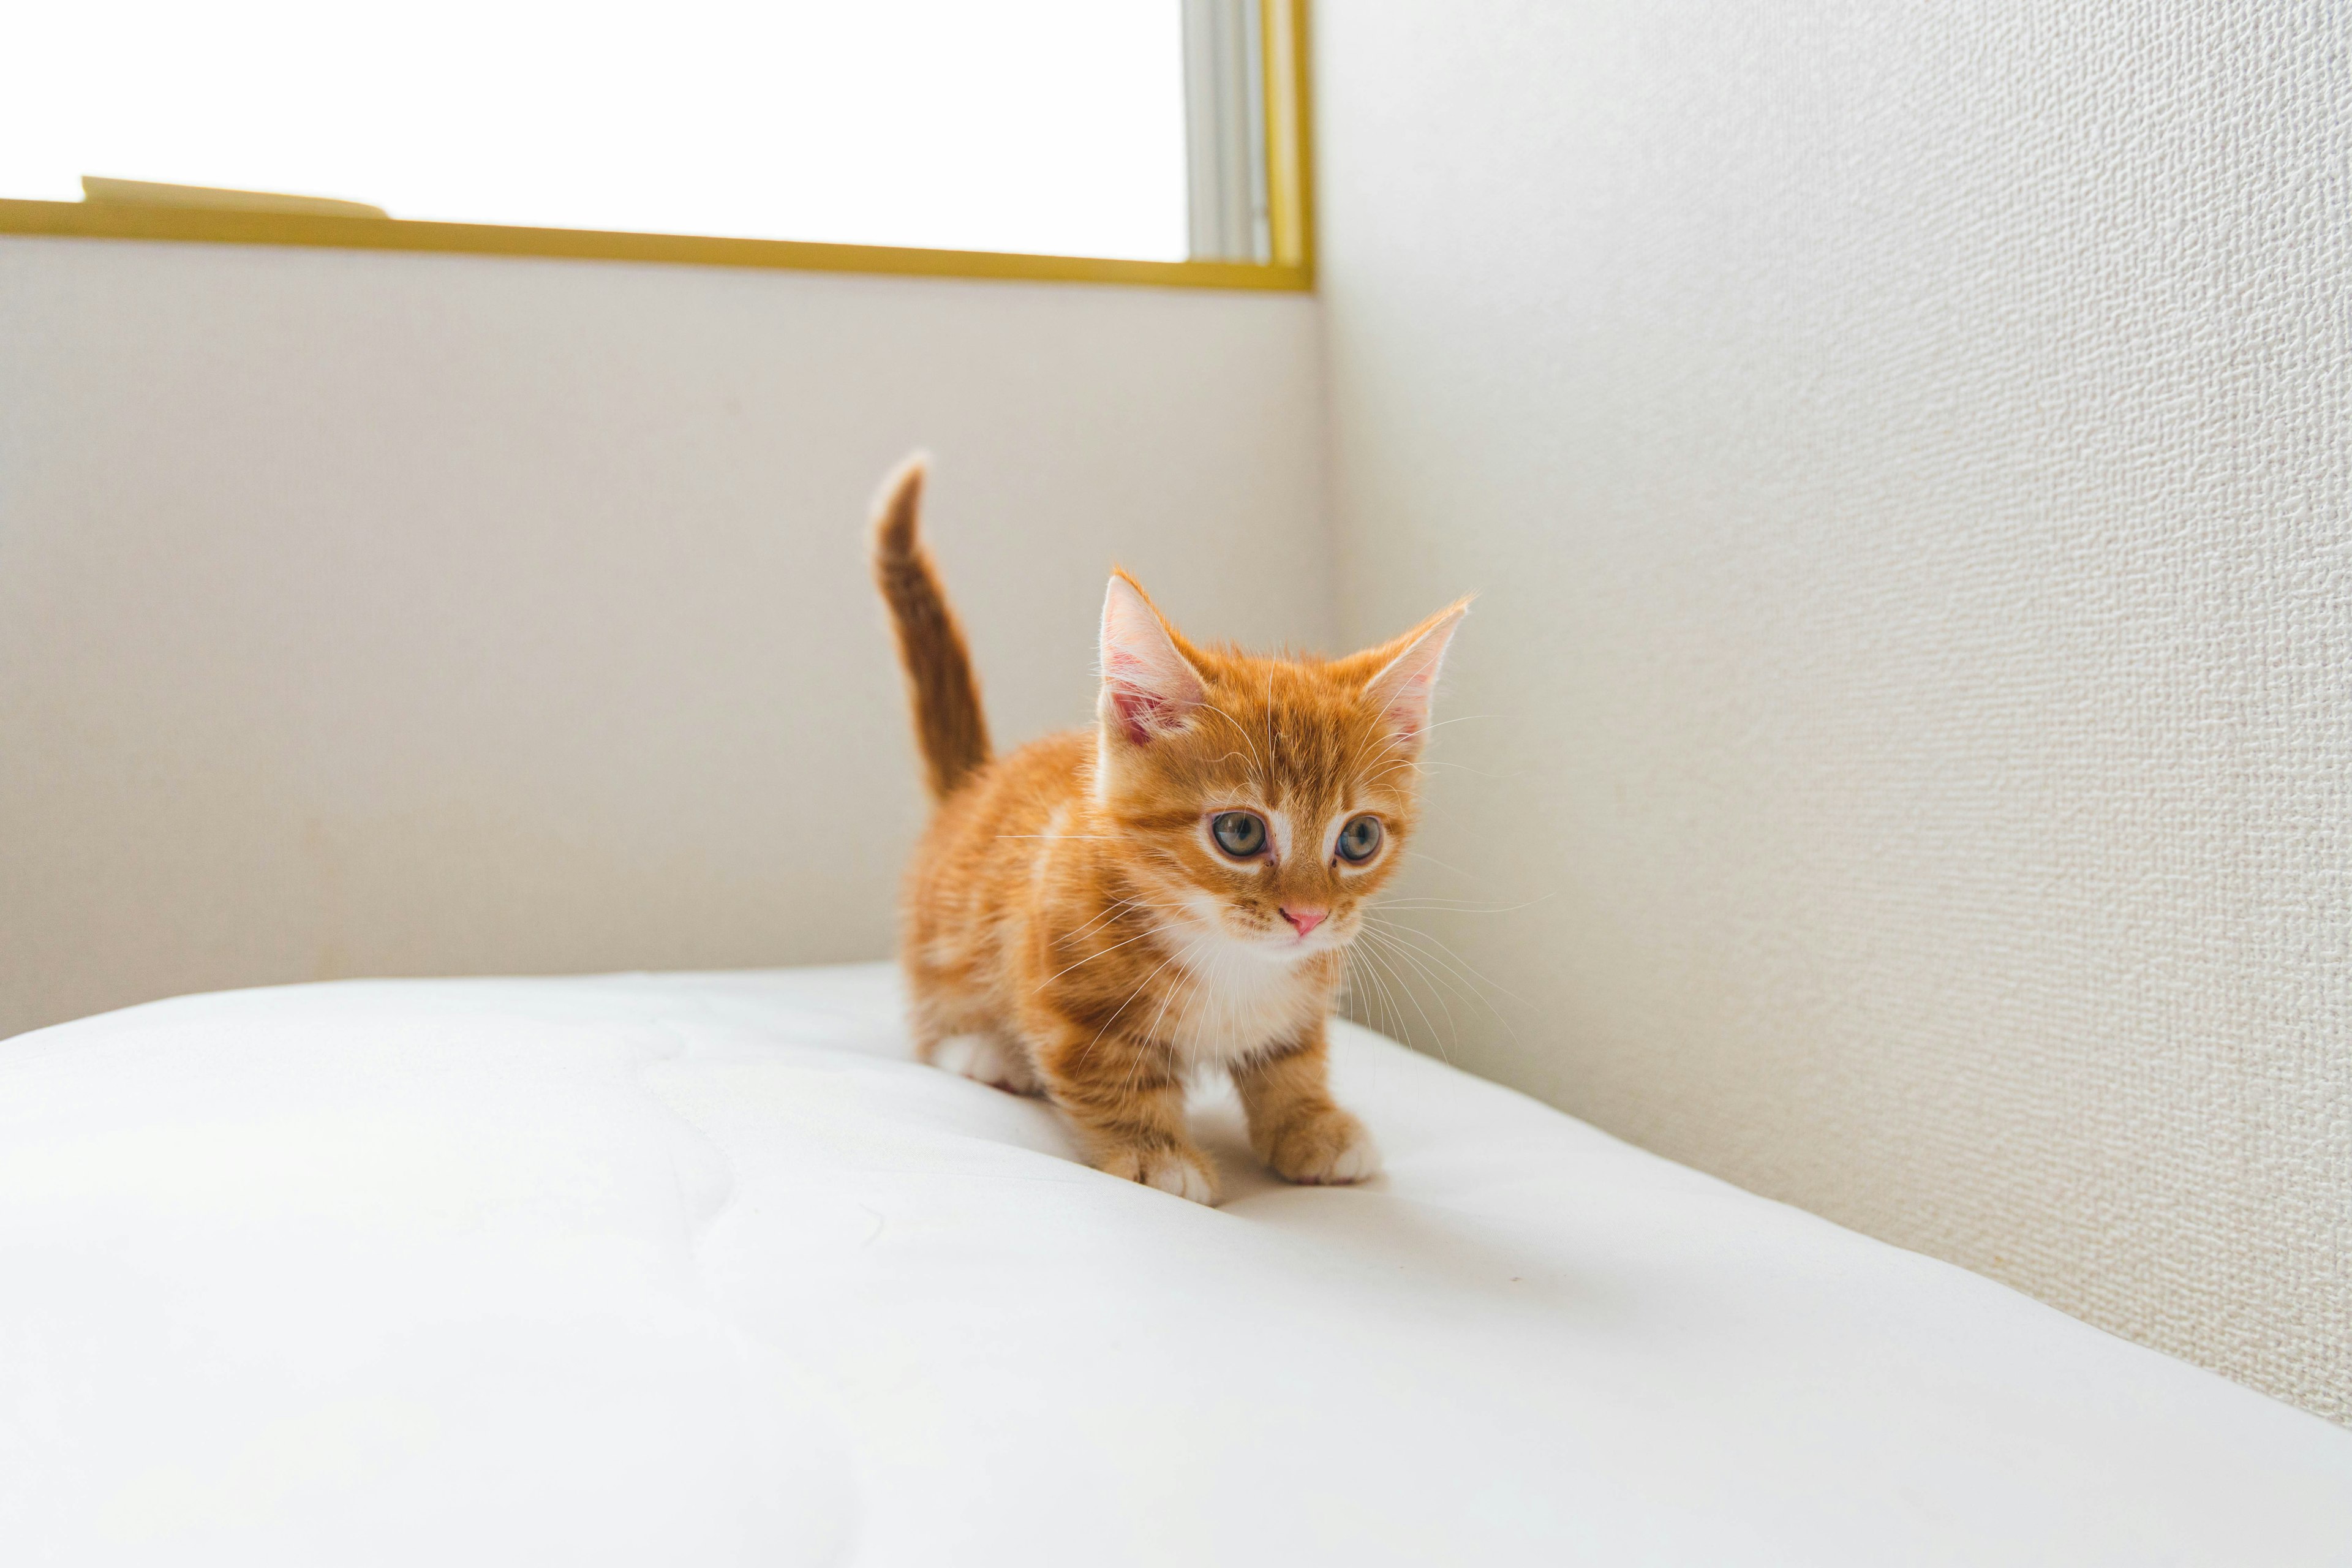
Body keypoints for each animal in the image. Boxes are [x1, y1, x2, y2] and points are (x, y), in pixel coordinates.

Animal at [875, 461, 1468, 1213]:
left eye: (1360, 839)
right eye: (1239, 831)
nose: (1308, 916)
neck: (1226, 952)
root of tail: (975, 784)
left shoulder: (1307, 988)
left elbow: (1291, 1055)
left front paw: (1310, 1123)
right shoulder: (1060, 977)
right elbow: (1104, 1067)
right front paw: (1154, 1153)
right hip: (947, 939)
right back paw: (981, 1051)